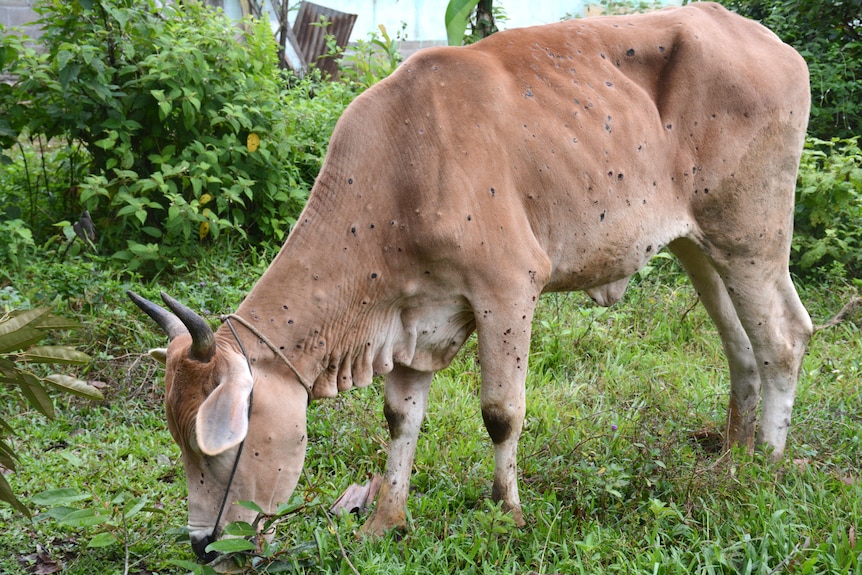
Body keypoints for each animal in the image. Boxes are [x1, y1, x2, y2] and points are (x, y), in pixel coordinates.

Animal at [130, 3, 816, 564]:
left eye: (224, 448)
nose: (202, 547)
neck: (398, 172)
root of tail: (766, 40)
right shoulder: (412, 317)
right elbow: (400, 418)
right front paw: (384, 521)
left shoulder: (508, 290)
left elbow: (501, 414)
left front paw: (507, 513)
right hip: (697, 244)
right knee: (740, 345)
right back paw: (730, 455)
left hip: (751, 234)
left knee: (784, 338)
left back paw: (767, 467)